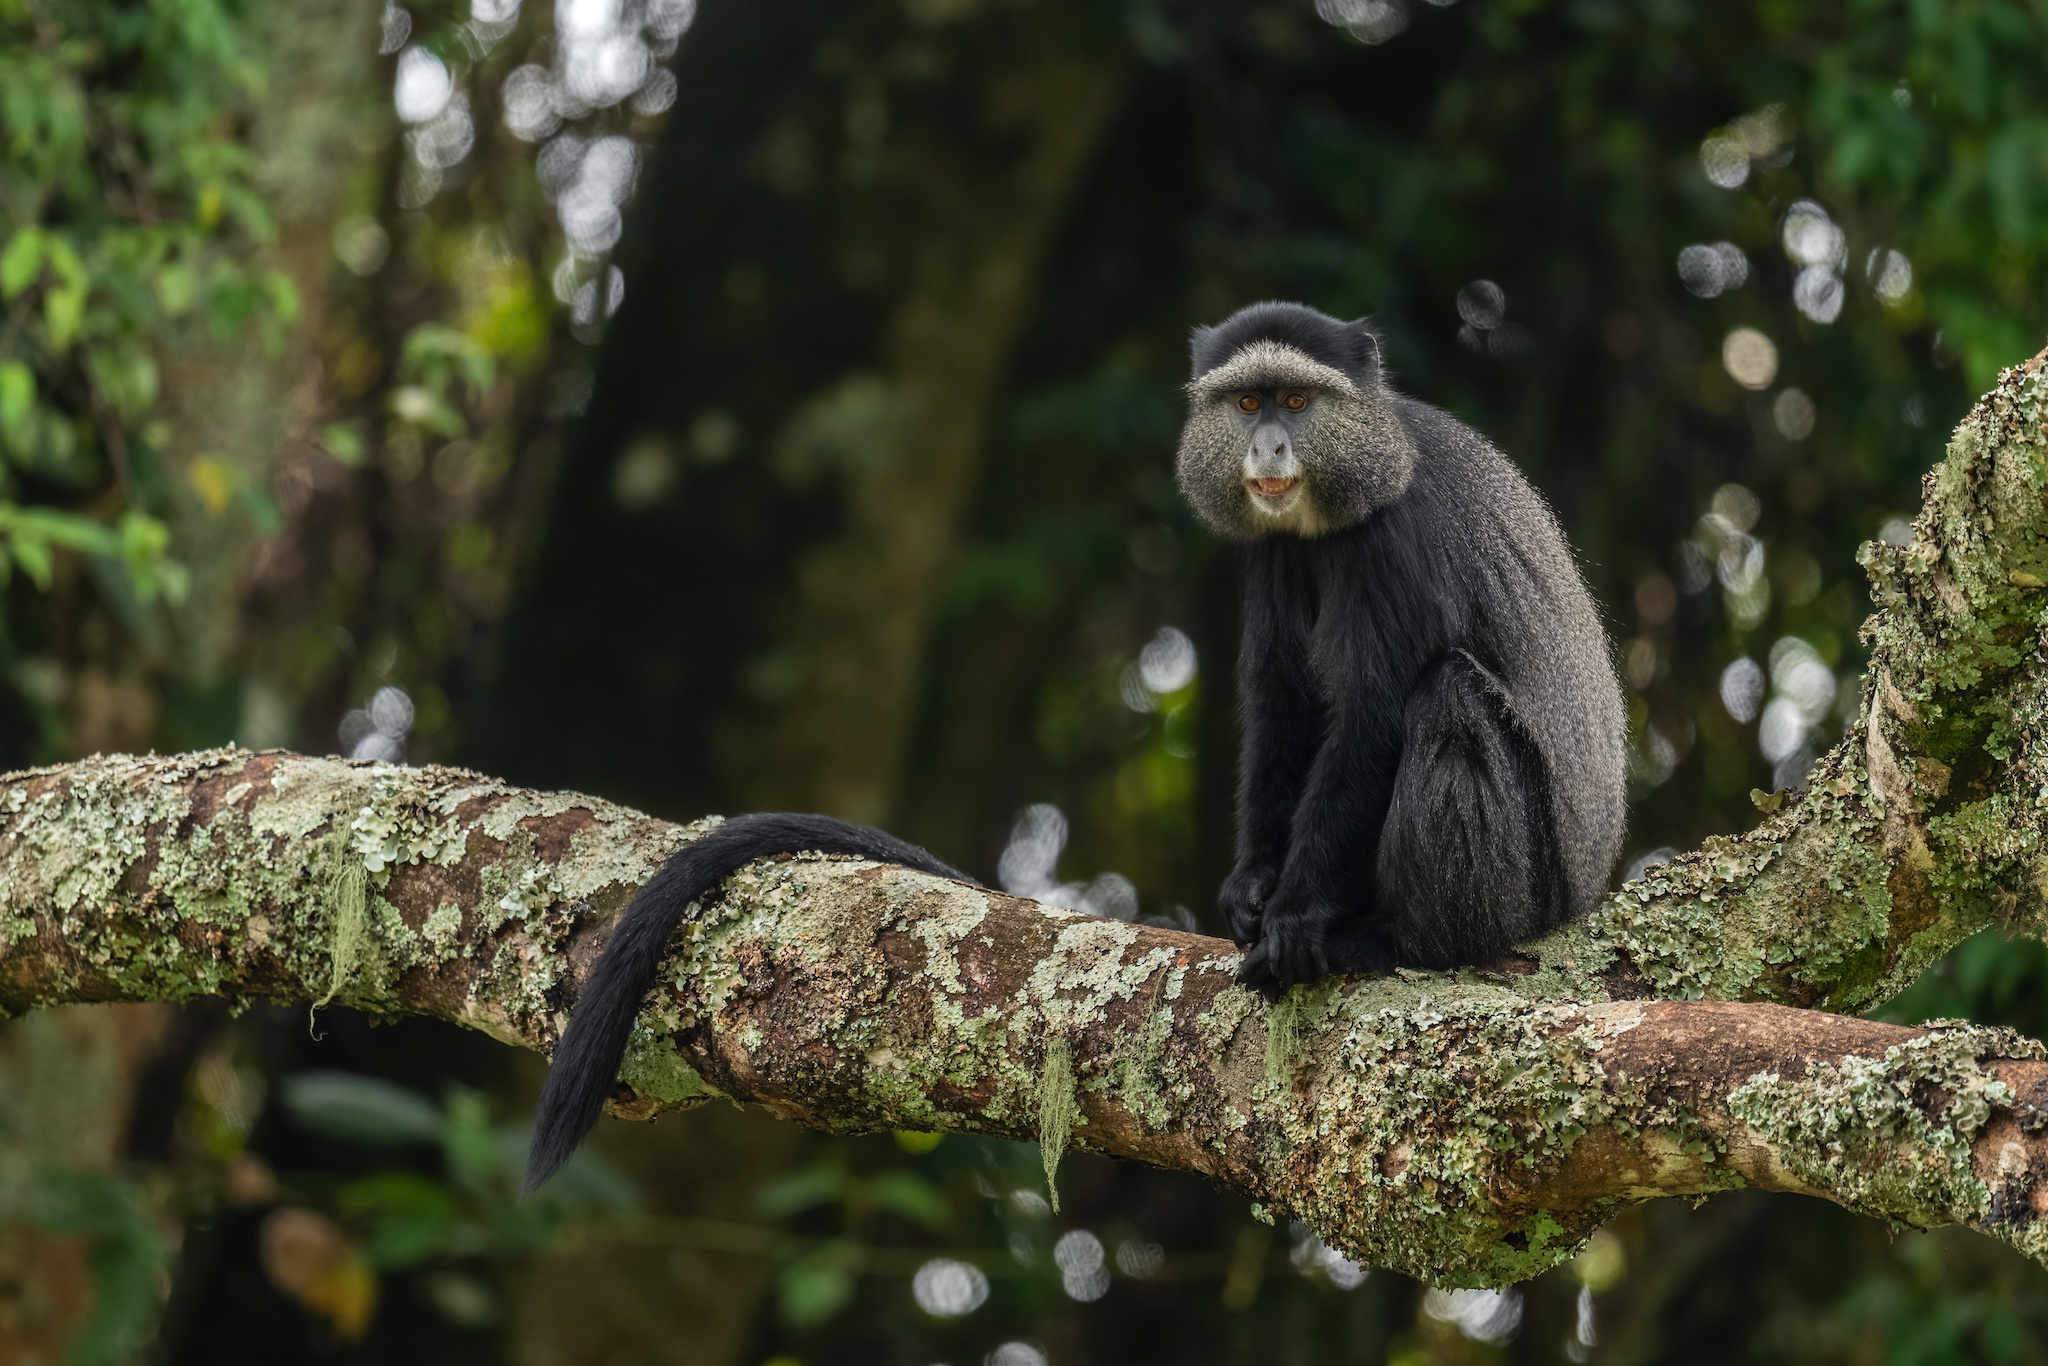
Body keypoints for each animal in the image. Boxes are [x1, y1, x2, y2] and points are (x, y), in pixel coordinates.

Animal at [1187, 301, 1630, 995]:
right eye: (1247, 402)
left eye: (1295, 400)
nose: (1268, 447)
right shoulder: (1268, 551)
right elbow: (1282, 705)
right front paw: (1251, 883)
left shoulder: (1397, 542)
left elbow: (1369, 719)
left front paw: (1294, 916)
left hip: (1532, 887)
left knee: (1450, 696)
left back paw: (1399, 940)